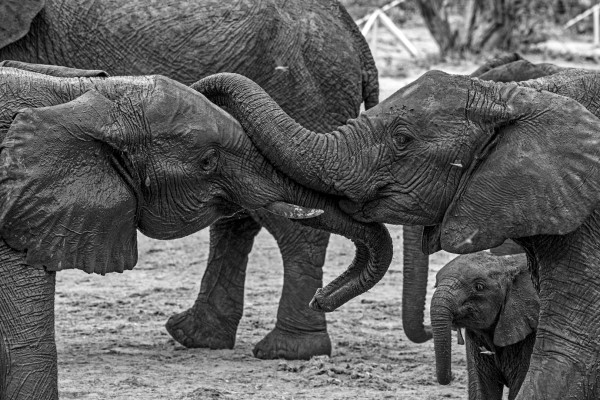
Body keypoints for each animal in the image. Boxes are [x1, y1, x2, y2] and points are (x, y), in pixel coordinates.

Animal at [0, 0, 382, 359]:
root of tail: (355, 34)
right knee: (238, 222)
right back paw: (197, 337)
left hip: (308, 92)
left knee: (292, 230)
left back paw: (289, 350)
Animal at [432, 252, 538, 400]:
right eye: (436, 285)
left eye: (479, 287)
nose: (451, 377)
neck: (509, 263)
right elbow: (483, 388)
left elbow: (519, 387)